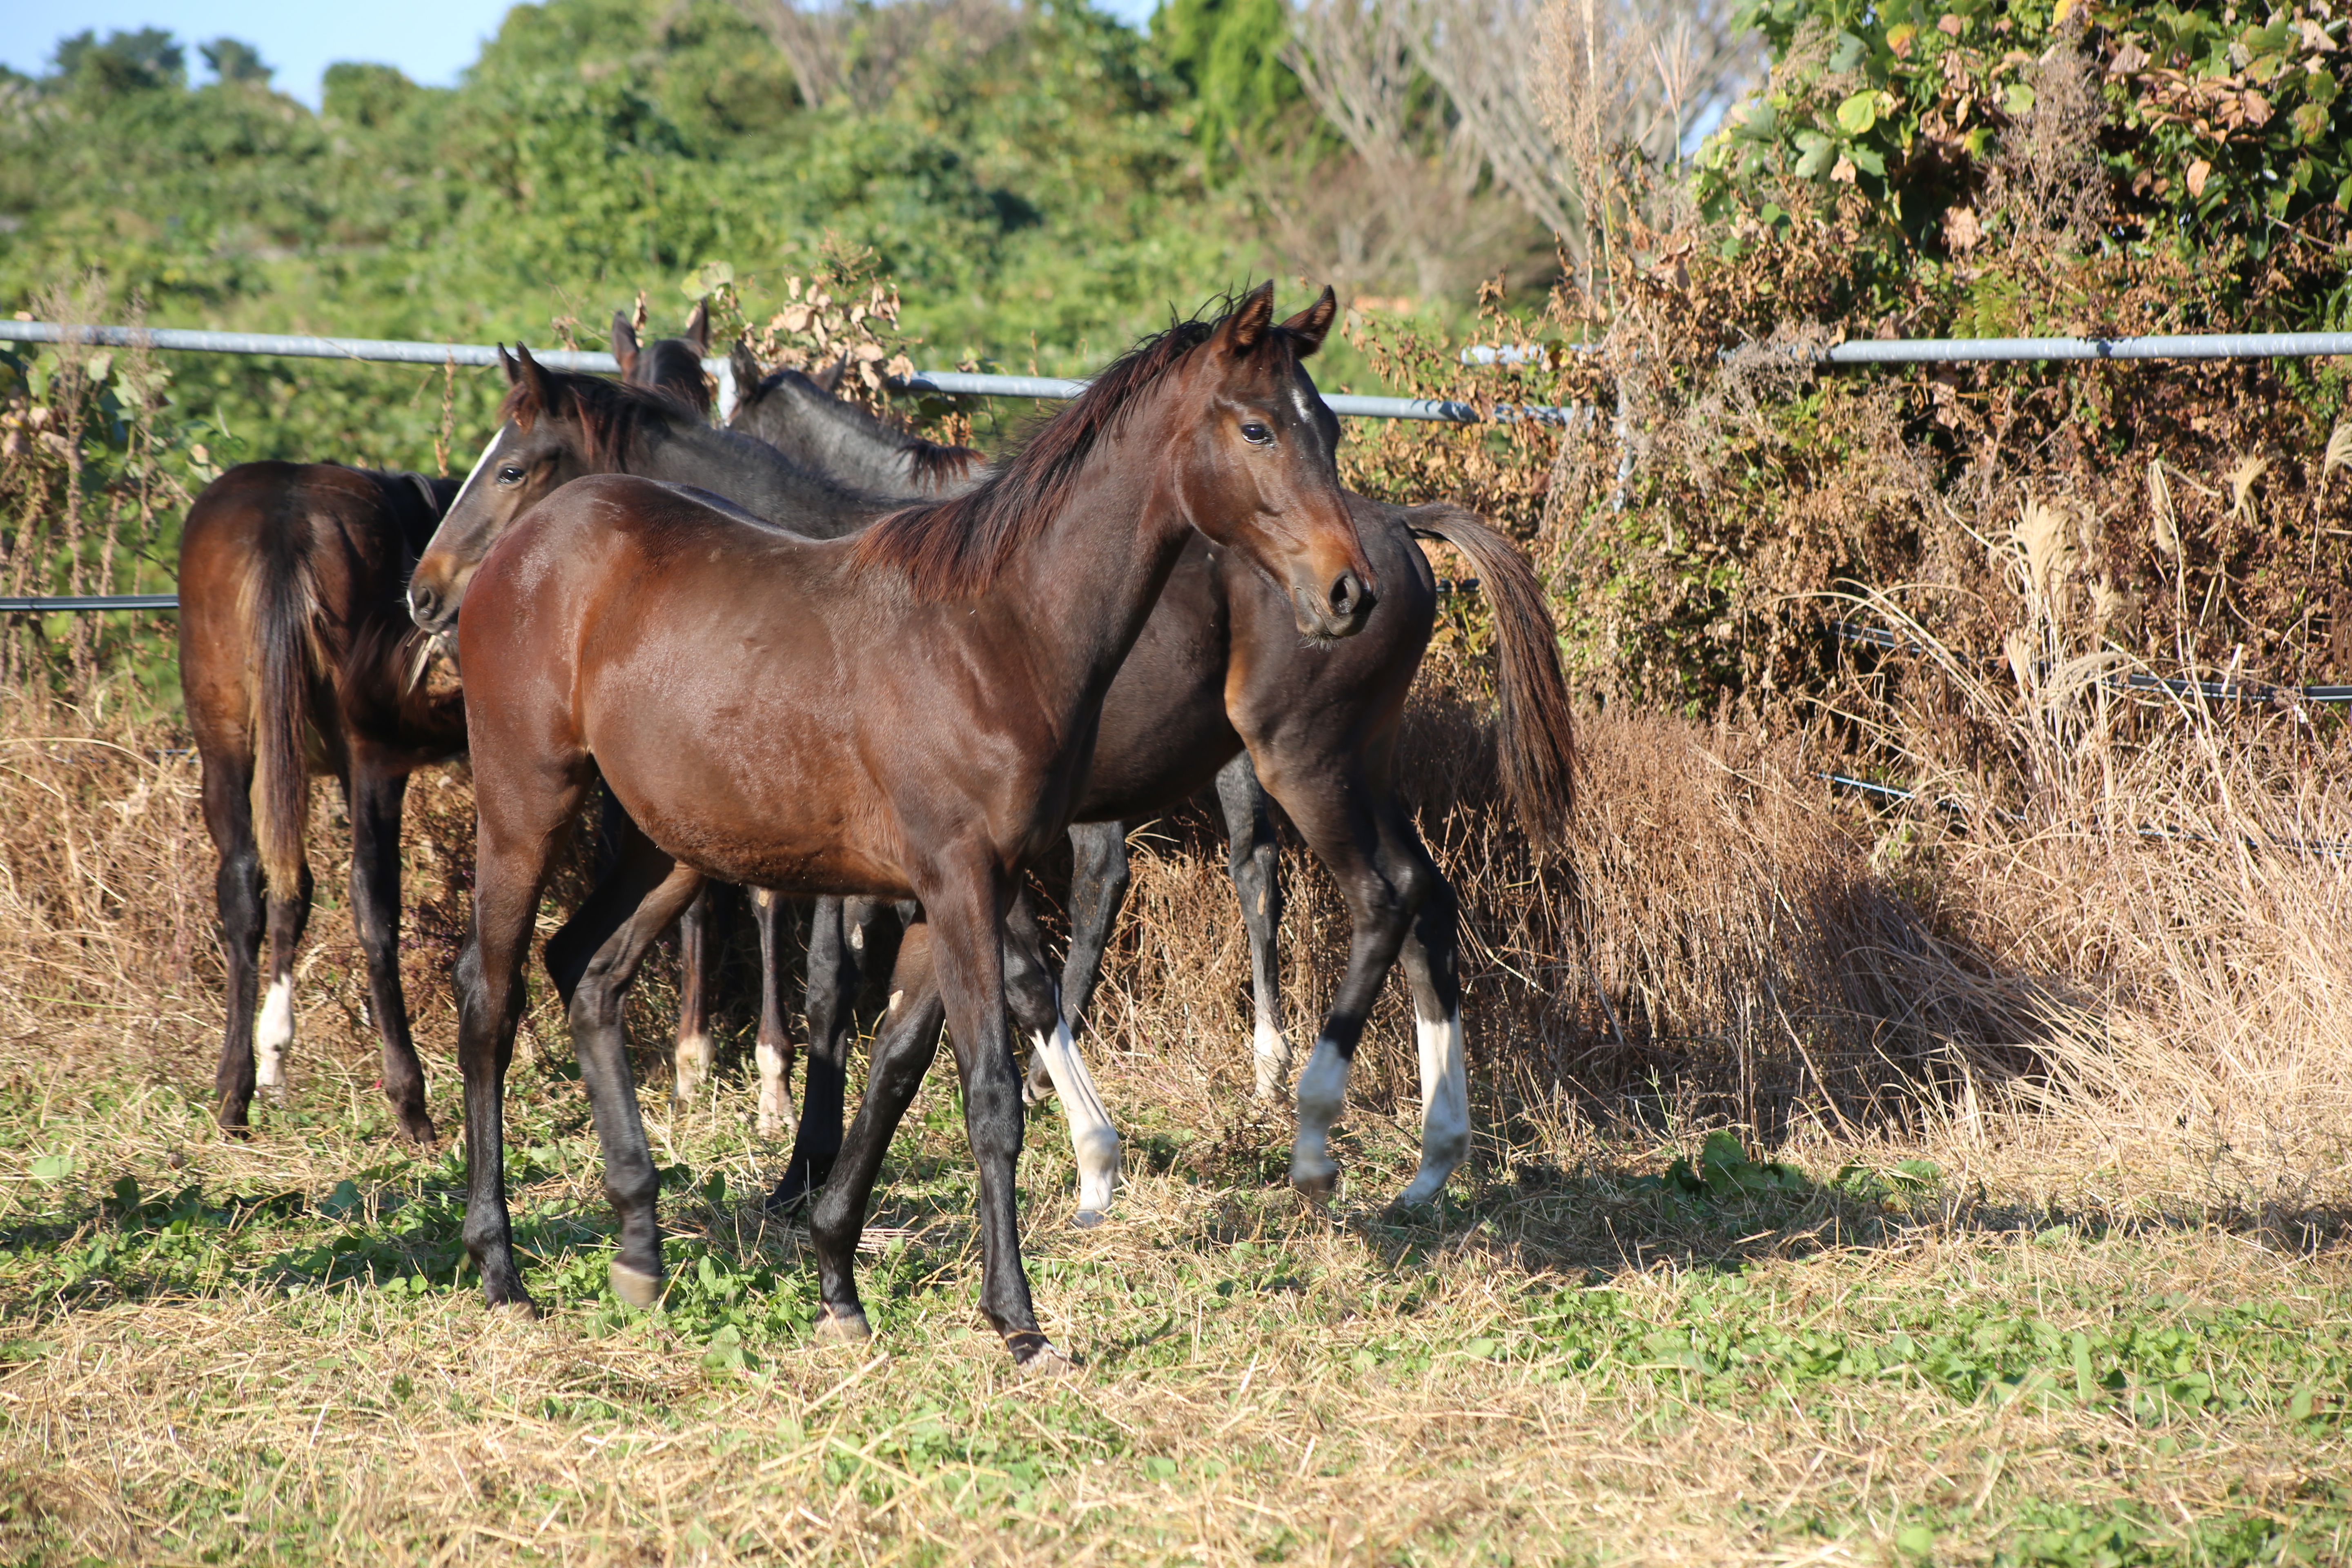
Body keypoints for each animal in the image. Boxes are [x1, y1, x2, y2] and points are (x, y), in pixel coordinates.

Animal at [175, 463, 468, 1142]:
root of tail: (287, 523)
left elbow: (290, 893)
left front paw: (273, 1060)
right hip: (364, 754)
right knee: (371, 893)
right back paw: (410, 1102)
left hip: (226, 741)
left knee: (244, 886)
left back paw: (234, 1095)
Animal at [437, 285, 1373, 1363]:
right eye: (1257, 427)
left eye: (1328, 427)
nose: (1348, 591)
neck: (1000, 631)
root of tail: (521, 556)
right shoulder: (957, 880)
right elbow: (988, 1094)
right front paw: (1017, 1318)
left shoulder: (960, 891)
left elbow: (893, 1072)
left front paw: (837, 1280)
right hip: (526, 802)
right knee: (490, 993)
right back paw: (501, 1267)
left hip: (666, 844)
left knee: (586, 970)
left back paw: (639, 1248)